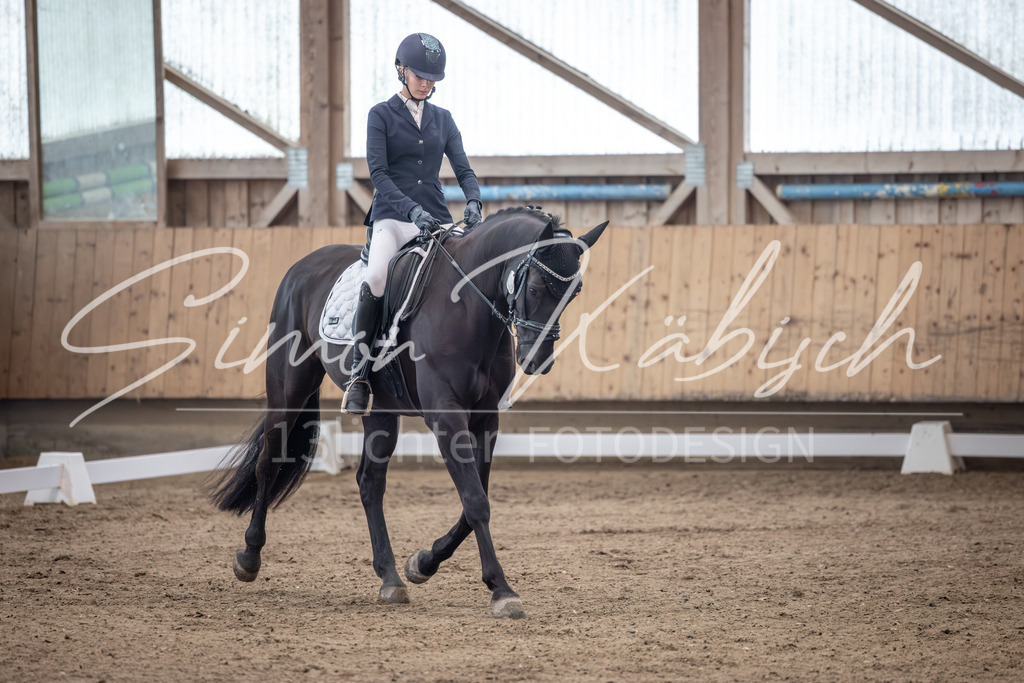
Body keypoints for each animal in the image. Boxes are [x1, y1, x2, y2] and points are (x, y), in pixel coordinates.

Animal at [210, 207, 608, 619]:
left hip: (380, 411)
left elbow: (474, 500)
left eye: (574, 292)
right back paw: (249, 557)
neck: (468, 305)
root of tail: (302, 266)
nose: (537, 359)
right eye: (534, 288)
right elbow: (476, 501)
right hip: (289, 390)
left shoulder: (486, 420)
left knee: (369, 483)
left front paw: (423, 562)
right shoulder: (445, 417)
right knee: (268, 462)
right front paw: (502, 590)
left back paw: (390, 578)